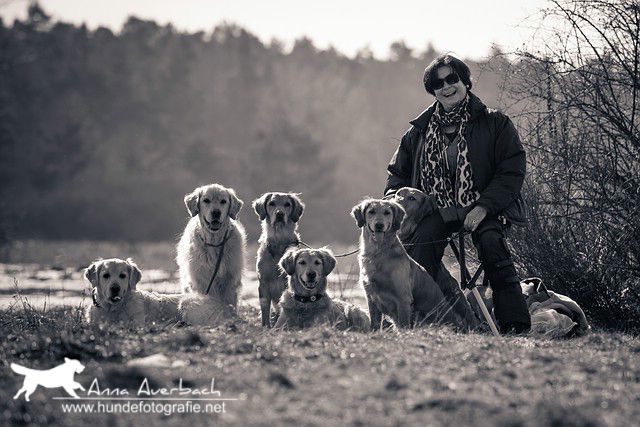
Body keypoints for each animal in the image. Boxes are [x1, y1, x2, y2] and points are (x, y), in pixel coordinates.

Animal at [176, 182, 246, 326]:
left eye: (223, 201)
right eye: (206, 200)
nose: (216, 212)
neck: (215, 243)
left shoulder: (231, 277)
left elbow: (229, 300)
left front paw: (232, 317)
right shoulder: (202, 278)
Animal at [254, 192, 306, 330]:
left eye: (287, 204)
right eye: (272, 203)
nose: (279, 214)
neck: (278, 242)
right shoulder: (263, 283)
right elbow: (265, 307)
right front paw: (265, 326)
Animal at [352, 198, 468, 332]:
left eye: (387, 213)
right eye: (371, 212)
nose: (379, 225)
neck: (378, 252)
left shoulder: (403, 299)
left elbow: (404, 325)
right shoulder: (371, 298)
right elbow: (374, 324)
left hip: (420, 313)